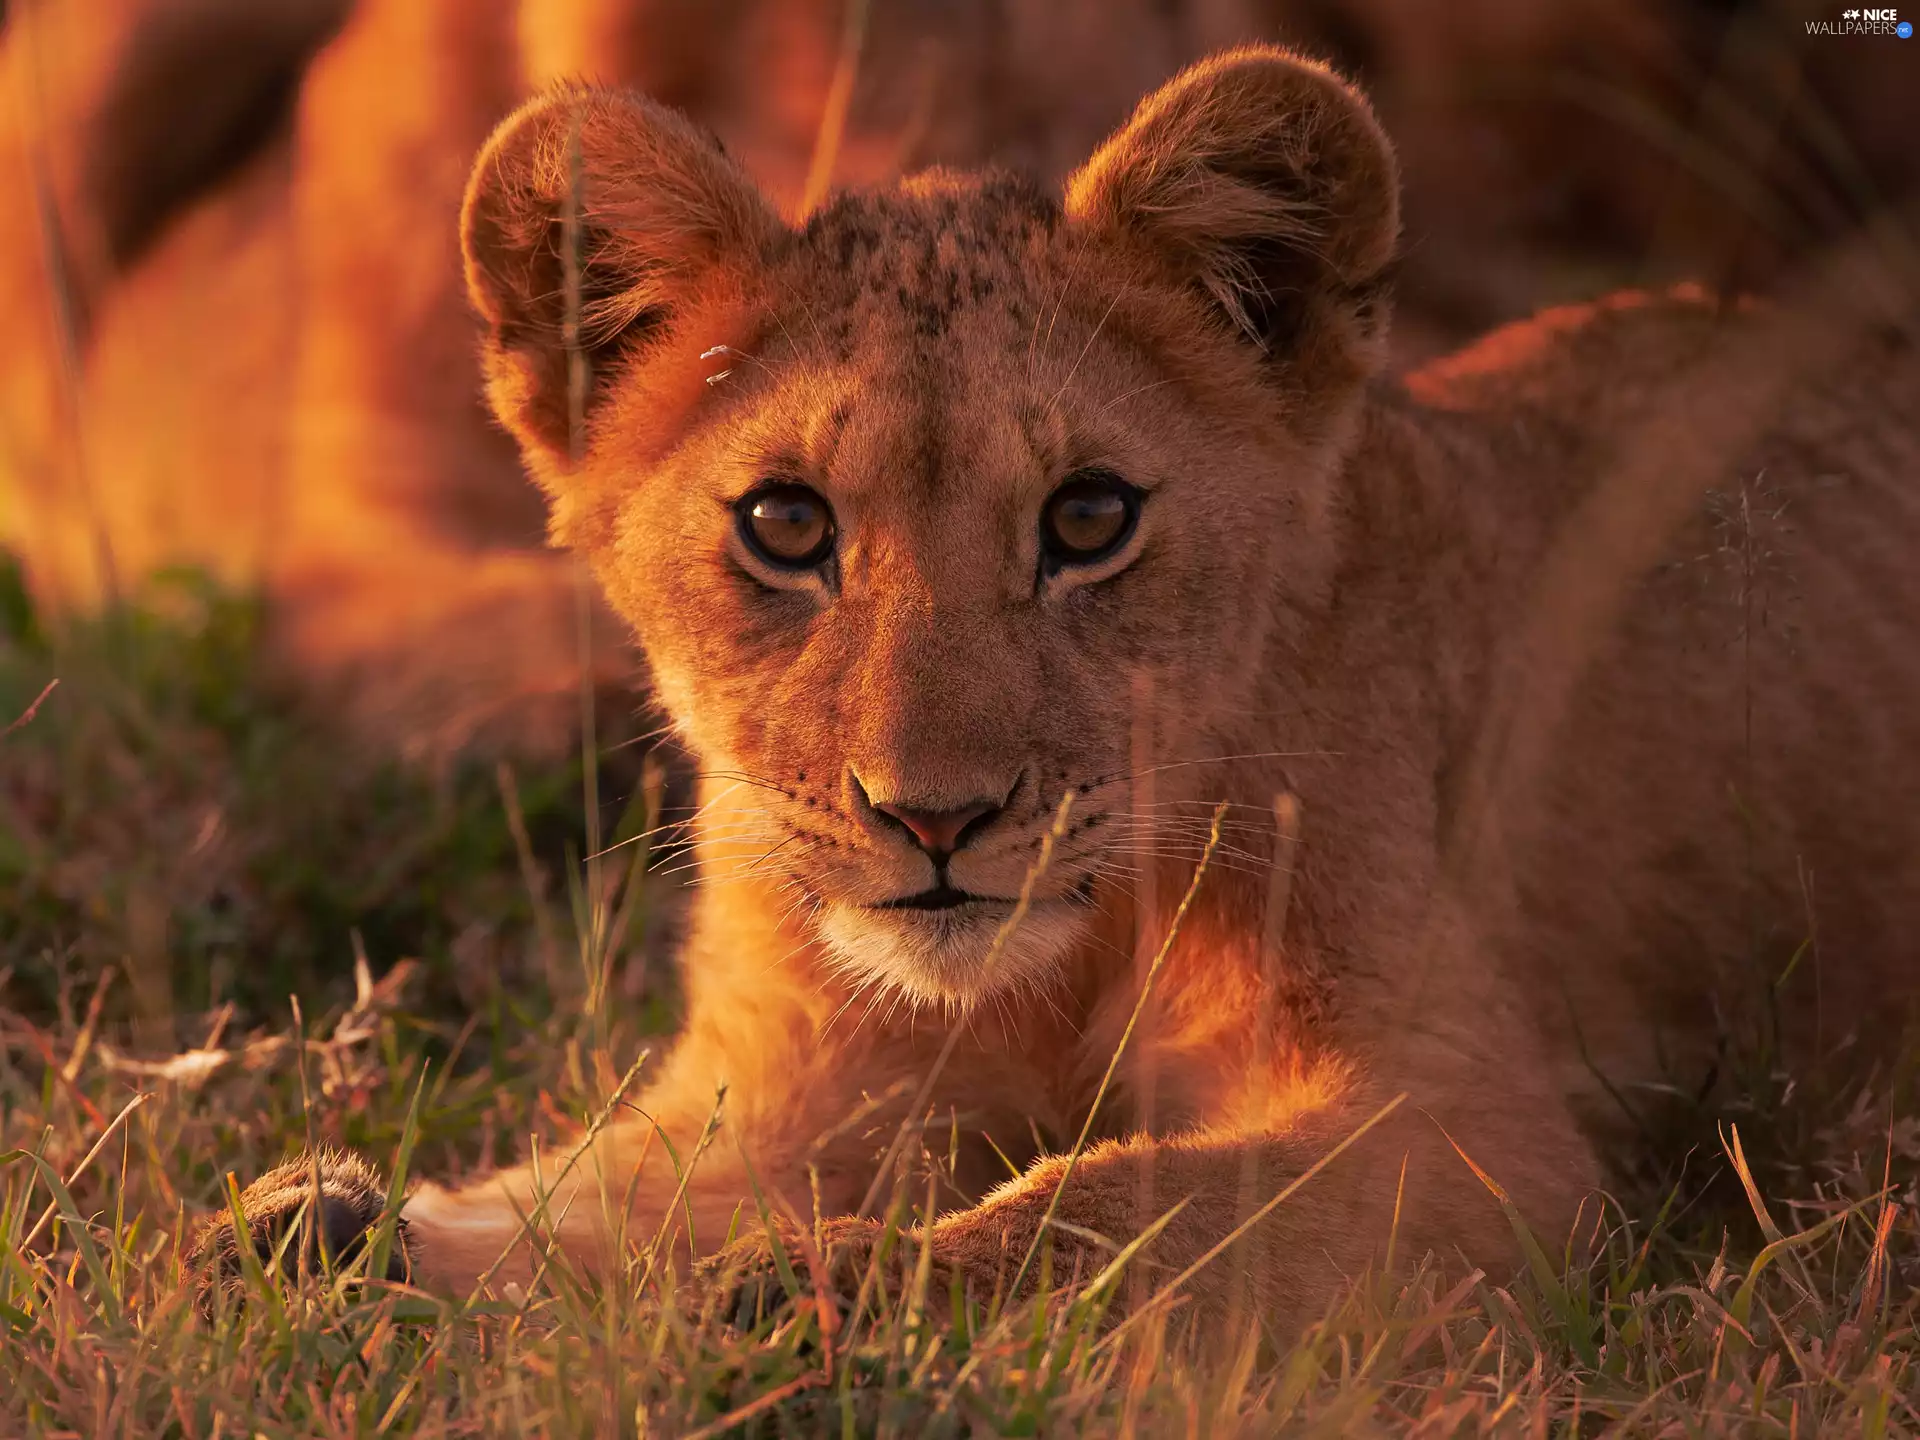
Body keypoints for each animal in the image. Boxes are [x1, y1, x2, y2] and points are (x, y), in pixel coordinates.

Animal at [192, 46, 1919, 1331]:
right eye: (786, 526)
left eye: (1089, 520)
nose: (937, 822)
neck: (1057, 971)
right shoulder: (791, 1091)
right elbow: (593, 1203)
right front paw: (320, 1233)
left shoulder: (1483, 1137)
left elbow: (1103, 1212)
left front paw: (800, 1297)